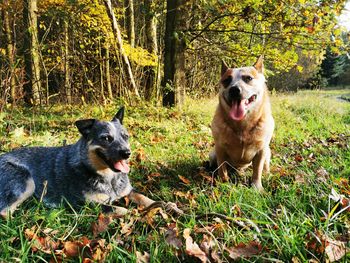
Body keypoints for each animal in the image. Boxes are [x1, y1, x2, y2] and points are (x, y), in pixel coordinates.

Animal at [0, 107, 182, 219]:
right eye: (106, 138)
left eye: (126, 136)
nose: (127, 153)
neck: (109, 178)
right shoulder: (85, 204)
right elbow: (122, 209)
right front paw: (139, 213)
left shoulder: (127, 191)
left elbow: (145, 198)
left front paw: (167, 205)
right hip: (25, 181)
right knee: (4, 212)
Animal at [209, 56, 274, 191]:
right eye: (227, 80)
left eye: (248, 78)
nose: (234, 89)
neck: (243, 124)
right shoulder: (220, 149)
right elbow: (222, 169)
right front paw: (224, 183)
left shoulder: (261, 150)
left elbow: (257, 171)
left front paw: (257, 186)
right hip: (212, 154)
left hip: (268, 152)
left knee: (265, 166)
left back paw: (267, 174)